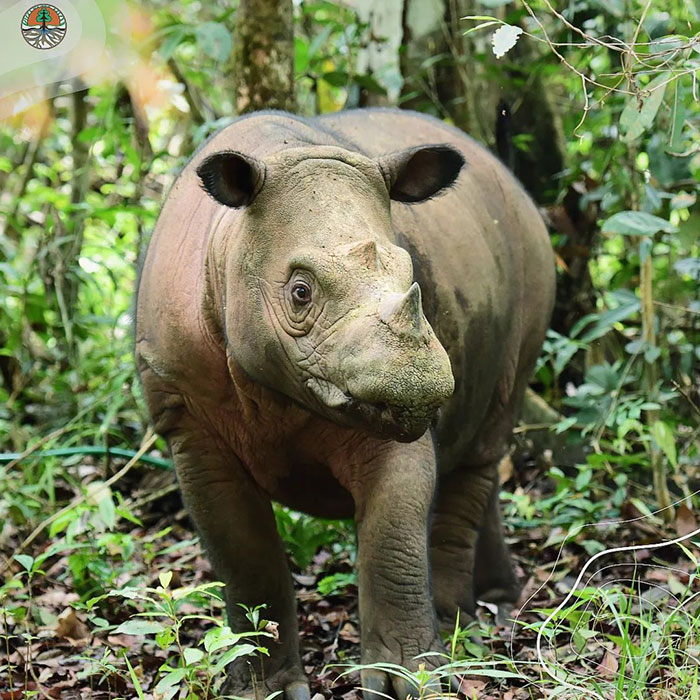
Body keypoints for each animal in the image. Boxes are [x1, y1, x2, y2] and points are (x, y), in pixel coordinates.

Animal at [136, 108, 555, 699]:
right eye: (300, 292)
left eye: (412, 275)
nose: (419, 383)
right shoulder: (187, 417)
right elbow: (244, 557)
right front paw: (266, 689)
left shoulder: (386, 416)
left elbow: (393, 540)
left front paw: (408, 680)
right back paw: (493, 602)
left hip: (534, 256)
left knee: (487, 440)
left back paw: (463, 623)